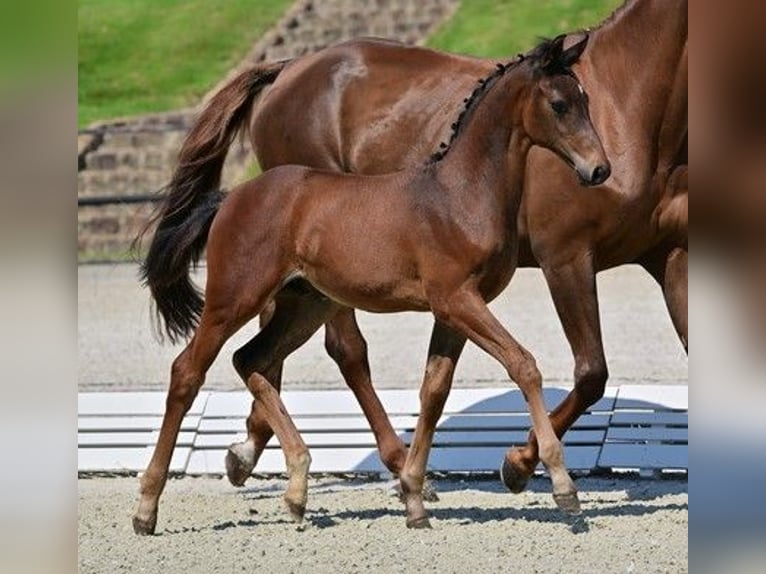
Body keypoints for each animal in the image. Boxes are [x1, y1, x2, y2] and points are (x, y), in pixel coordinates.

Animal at [147, 0, 688, 496]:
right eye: (560, 105)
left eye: (588, 101)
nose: (598, 170)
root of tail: (288, 67)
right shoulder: (563, 258)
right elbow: (585, 371)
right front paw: (520, 464)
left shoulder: (670, 257)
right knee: (334, 351)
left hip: (302, 285)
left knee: (262, 350)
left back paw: (252, 449)